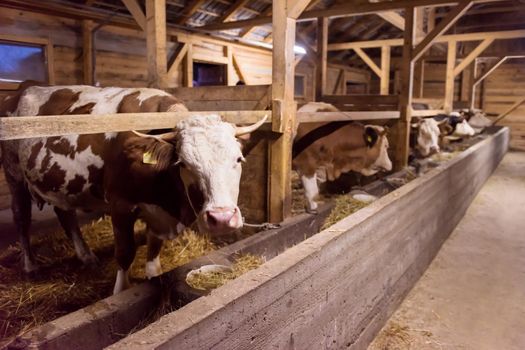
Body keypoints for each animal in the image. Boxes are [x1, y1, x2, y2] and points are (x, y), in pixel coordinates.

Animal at [1, 84, 266, 292]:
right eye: (183, 163)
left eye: (239, 159)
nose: (221, 219)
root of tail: (21, 90)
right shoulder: (120, 205)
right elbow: (125, 253)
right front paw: (121, 291)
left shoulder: (158, 212)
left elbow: (155, 245)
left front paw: (154, 273)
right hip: (14, 176)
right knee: (21, 217)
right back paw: (30, 266)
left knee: (65, 214)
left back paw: (86, 256)